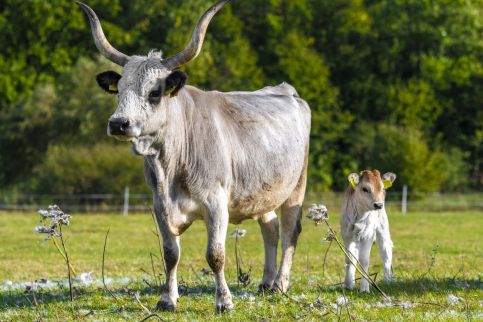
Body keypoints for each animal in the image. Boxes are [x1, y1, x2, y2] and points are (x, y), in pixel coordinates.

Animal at [78, 0, 314, 312]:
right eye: (119, 91)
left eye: (155, 92)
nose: (118, 123)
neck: (170, 166)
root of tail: (287, 90)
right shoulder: (159, 205)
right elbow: (170, 253)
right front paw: (167, 299)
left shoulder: (216, 203)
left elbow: (215, 254)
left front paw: (224, 301)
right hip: (262, 191)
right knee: (271, 228)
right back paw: (266, 282)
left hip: (296, 187)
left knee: (289, 231)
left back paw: (280, 284)